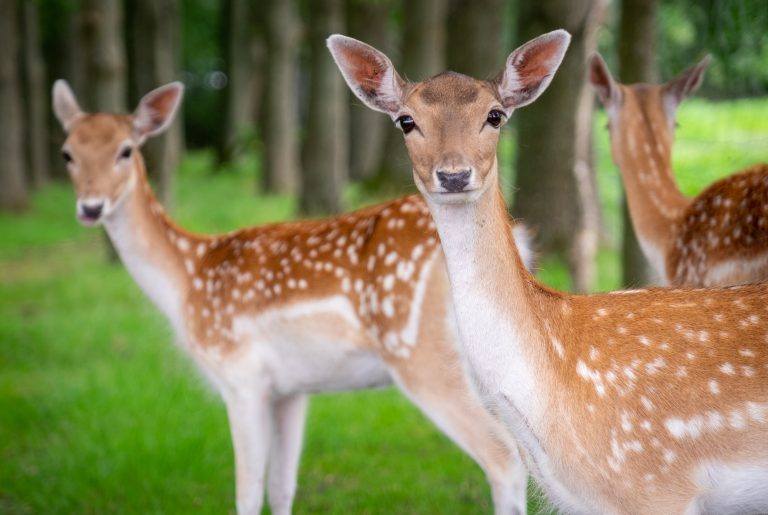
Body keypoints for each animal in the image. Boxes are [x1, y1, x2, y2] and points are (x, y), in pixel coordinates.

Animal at [52, 78, 540, 512]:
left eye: (126, 150)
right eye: (67, 153)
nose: (90, 207)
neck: (189, 278)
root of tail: (519, 242)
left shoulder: (240, 376)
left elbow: (248, 495)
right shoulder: (290, 389)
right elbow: (282, 488)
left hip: (421, 353)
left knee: (504, 457)